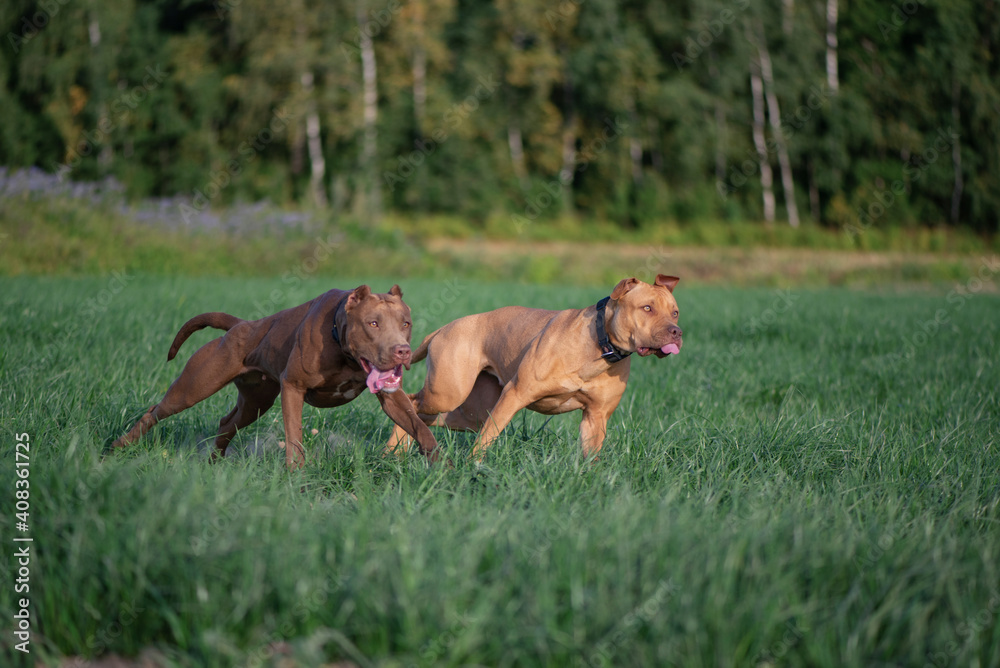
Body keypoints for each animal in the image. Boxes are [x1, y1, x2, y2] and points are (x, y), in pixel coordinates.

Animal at [111, 284, 436, 468]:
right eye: (373, 323)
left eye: (406, 323)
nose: (402, 351)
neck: (342, 345)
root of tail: (242, 325)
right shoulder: (293, 387)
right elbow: (295, 439)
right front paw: (297, 478)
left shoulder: (393, 398)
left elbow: (420, 427)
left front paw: (439, 463)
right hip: (194, 386)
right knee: (155, 412)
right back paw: (118, 447)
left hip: (255, 402)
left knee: (227, 423)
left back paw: (214, 464)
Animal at [386, 276, 684, 460]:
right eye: (647, 308)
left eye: (675, 312)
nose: (676, 332)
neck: (600, 346)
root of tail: (444, 327)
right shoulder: (515, 394)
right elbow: (487, 438)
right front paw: (472, 467)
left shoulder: (596, 417)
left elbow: (591, 455)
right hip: (447, 391)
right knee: (412, 401)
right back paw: (393, 451)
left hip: (471, 412)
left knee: (425, 417)